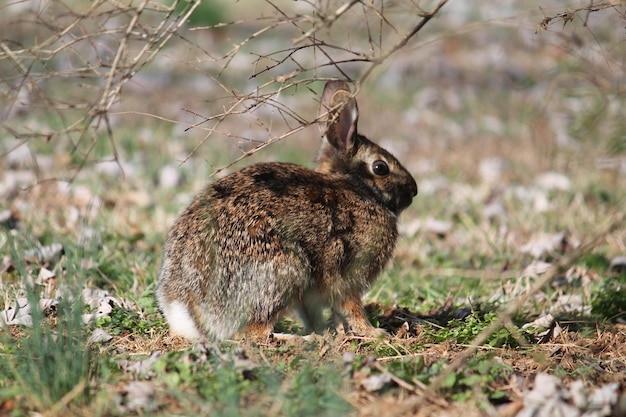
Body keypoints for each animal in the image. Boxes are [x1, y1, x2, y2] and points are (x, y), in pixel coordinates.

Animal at [155, 79, 416, 340]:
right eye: (380, 167)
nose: (413, 191)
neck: (356, 187)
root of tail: (186, 308)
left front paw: (331, 331)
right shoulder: (349, 271)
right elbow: (351, 306)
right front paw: (374, 332)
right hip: (285, 271)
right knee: (255, 333)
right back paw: (299, 339)